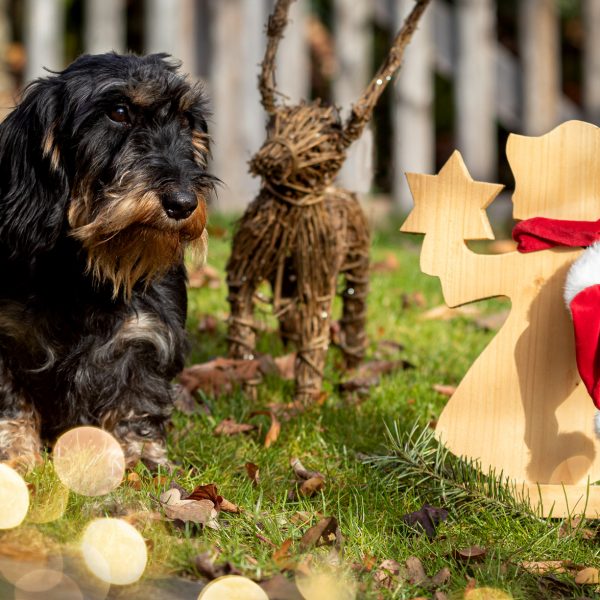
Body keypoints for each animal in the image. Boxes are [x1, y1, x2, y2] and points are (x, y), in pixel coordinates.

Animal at [0, 52, 213, 468]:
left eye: (185, 120)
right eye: (118, 112)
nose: (183, 204)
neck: (84, 275)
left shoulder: (145, 336)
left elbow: (137, 399)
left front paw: (141, 459)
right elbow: (11, 403)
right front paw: (14, 456)